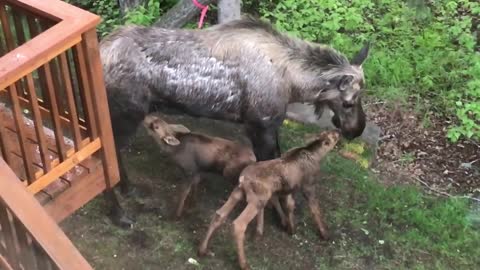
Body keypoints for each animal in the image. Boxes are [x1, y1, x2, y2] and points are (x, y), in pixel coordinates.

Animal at [100, 15, 372, 225]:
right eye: (348, 102)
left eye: (362, 95)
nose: (357, 129)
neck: (293, 85)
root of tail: (101, 51)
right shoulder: (259, 125)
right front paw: (279, 217)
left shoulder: (269, 126)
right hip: (126, 113)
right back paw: (119, 213)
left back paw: (127, 189)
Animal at [197, 130, 340, 268]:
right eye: (333, 136)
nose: (338, 131)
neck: (316, 154)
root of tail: (243, 179)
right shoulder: (308, 186)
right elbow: (315, 210)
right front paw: (325, 234)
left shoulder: (288, 189)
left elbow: (289, 206)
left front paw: (290, 228)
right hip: (258, 199)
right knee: (239, 223)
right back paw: (244, 263)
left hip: (238, 192)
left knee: (219, 214)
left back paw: (202, 249)